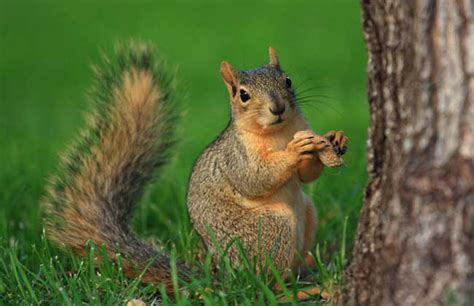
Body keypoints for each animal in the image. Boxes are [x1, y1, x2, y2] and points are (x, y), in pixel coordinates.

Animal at [42, 41, 346, 296]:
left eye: (288, 81)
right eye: (243, 95)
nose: (278, 108)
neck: (279, 133)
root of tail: (227, 279)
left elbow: (307, 175)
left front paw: (334, 140)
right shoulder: (236, 158)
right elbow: (255, 179)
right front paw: (294, 151)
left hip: (308, 213)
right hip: (270, 231)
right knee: (265, 283)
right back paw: (296, 290)